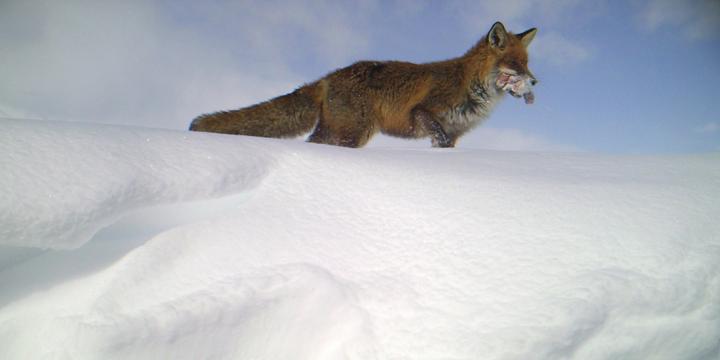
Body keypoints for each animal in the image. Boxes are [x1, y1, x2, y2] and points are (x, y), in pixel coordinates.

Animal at [188, 21, 536, 148]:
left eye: (527, 63)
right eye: (516, 65)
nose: (535, 81)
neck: (470, 85)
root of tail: (328, 76)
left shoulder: (454, 135)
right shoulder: (424, 112)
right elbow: (432, 127)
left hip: (337, 131)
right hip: (354, 133)